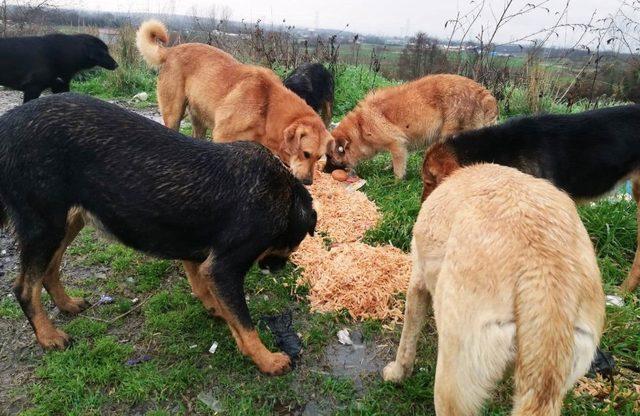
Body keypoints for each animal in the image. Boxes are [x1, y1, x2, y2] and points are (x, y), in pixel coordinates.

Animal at [0, 94, 316, 376]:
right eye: (293, 246)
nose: (278, 269)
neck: (285, 194)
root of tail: (7, 125)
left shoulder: (197, 253)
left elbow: (206, 289)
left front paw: (217, 312)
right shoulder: (224, 269)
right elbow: (245, 323)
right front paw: (267, 360)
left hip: (69, 219)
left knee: (49, 270)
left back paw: (66, 304)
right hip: (45, 225)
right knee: (25, 287)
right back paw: (49, 337)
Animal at [138, 17, 332, 184]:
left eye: (318, 157)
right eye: (306, 154)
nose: (308, 182)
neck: (267, 108)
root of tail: (170, 51)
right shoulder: (222, 138)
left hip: (199, 121)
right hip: (174, 114)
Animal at [324, 74, 500, 178]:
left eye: (330, 157)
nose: (323, 171)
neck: (360, 126)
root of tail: (484, 95)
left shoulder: (397, 144)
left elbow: (398, 167)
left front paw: (396, 182)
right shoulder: (401, 147)